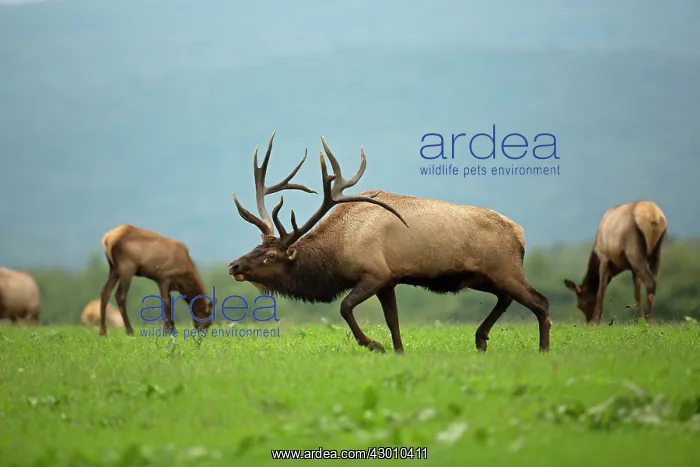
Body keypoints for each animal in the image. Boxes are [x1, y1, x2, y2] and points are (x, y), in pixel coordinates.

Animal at [227, 131, 552, 354]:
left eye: (270, 255)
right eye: (257, 247)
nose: (234, 266)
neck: (336, 252)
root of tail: (520, 233)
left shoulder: (375, 274)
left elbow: (345, 306)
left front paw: (374, 345)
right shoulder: (390, 281)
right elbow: (393, 320)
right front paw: (398, 351)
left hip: (504, 269)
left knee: (540, 301)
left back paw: (542, 349)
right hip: (482, 276)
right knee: (507, 298)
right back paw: (481, 339)